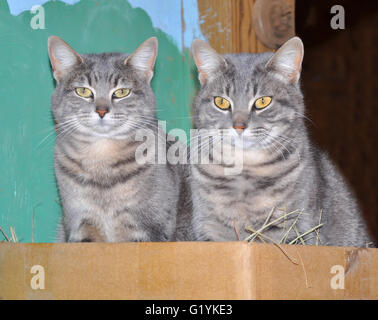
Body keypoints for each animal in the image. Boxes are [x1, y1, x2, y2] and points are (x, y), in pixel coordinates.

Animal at [188, 37, 374, 248]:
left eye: (262, 102)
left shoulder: (293, 226)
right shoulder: (208, 226)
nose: (239, 126)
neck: (245, 172)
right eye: (221, 102)